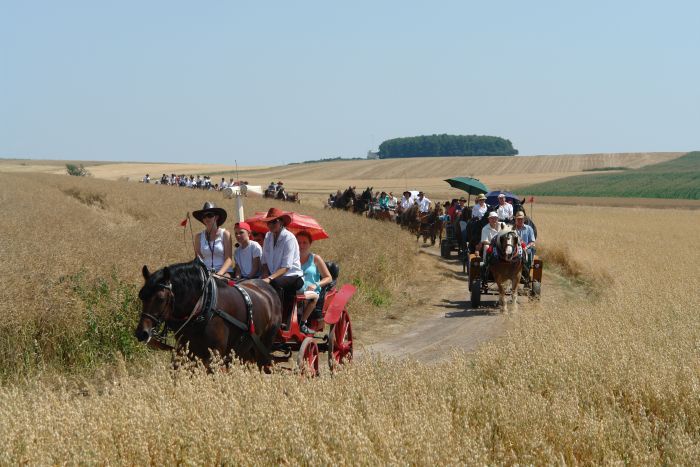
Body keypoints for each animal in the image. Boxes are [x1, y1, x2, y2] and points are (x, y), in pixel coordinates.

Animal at [134, 260, 282, 370]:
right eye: (142, 296)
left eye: (160, 298)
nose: (141, 333)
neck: (204, 306)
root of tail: (269, 290)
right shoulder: (185, 351)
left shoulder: (214, 355)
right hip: (244, 350)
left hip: (263, 348)